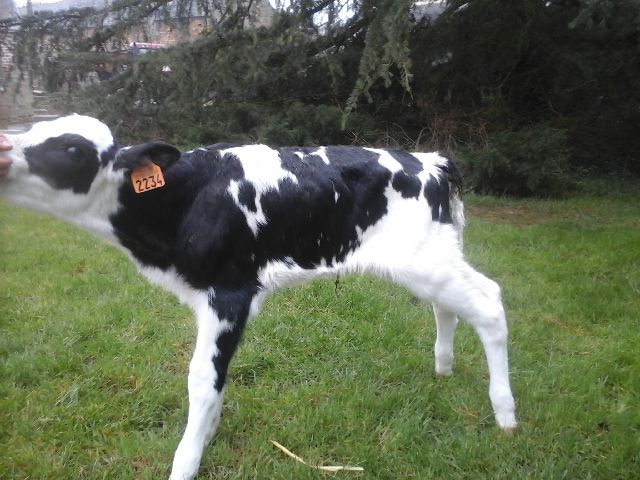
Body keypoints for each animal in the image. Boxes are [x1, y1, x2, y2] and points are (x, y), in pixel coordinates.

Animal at [0, 115, 516, 479]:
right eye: (31, 127)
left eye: (71, 149)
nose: (3, 150)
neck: (182, 201)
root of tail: (430, 160)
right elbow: (213, 383)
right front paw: (206, 436)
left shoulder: (230, 293)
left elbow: (202, 380)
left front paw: (186, 462)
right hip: (429, 259)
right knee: (447, 306)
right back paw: (443, 367)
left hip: (427, 259)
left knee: (488, 302)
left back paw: (506, 415)